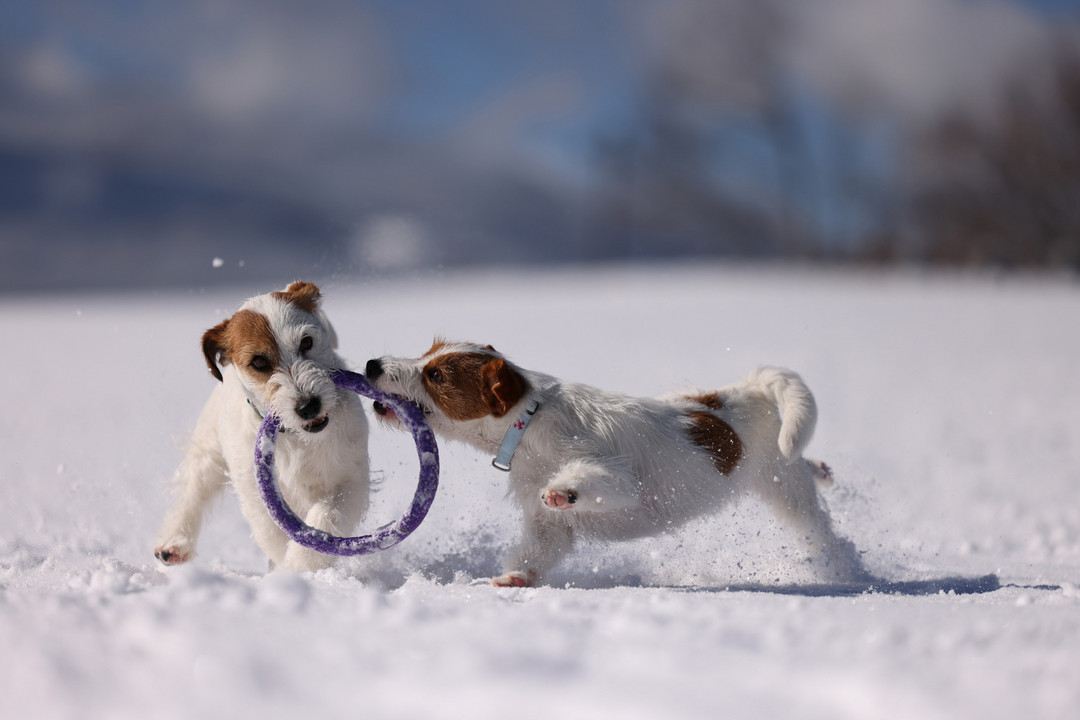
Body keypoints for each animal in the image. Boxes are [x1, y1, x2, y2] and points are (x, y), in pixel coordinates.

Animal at [152, 284, 371, 569]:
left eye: (306, 342)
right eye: (258, 362)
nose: (308, 406)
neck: (295, 439)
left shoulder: (349, 480)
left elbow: (325, 517)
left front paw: (299, 564)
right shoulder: (256, 494)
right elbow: (273, 534)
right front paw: (288, 570)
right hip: (208, 451)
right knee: (194, 491)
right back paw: (174, 543)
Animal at [367, 343, 864, 587]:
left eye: (436, 375)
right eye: (428, 354)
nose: (372, 364)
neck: (528, 422)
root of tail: (742, 391)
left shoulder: (613, 478)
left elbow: (591, 482)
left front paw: (563, 491)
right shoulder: (548, 530)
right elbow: (537, 552)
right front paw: (514, 577)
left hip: (785, 487)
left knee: (816, 525)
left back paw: (841, 568)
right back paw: (824, 470)